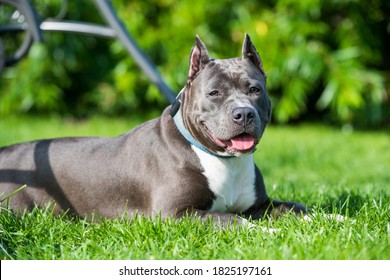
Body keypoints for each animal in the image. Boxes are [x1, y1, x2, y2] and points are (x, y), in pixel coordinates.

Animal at [0, 34, 308, 225]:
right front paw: (269, 231)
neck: (220, 159)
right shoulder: (176, 214)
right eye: (214, 93)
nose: (243, 113)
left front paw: (320, 219)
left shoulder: (261, 205)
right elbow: (233, 220)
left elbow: (296, 208)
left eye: (254, 89)